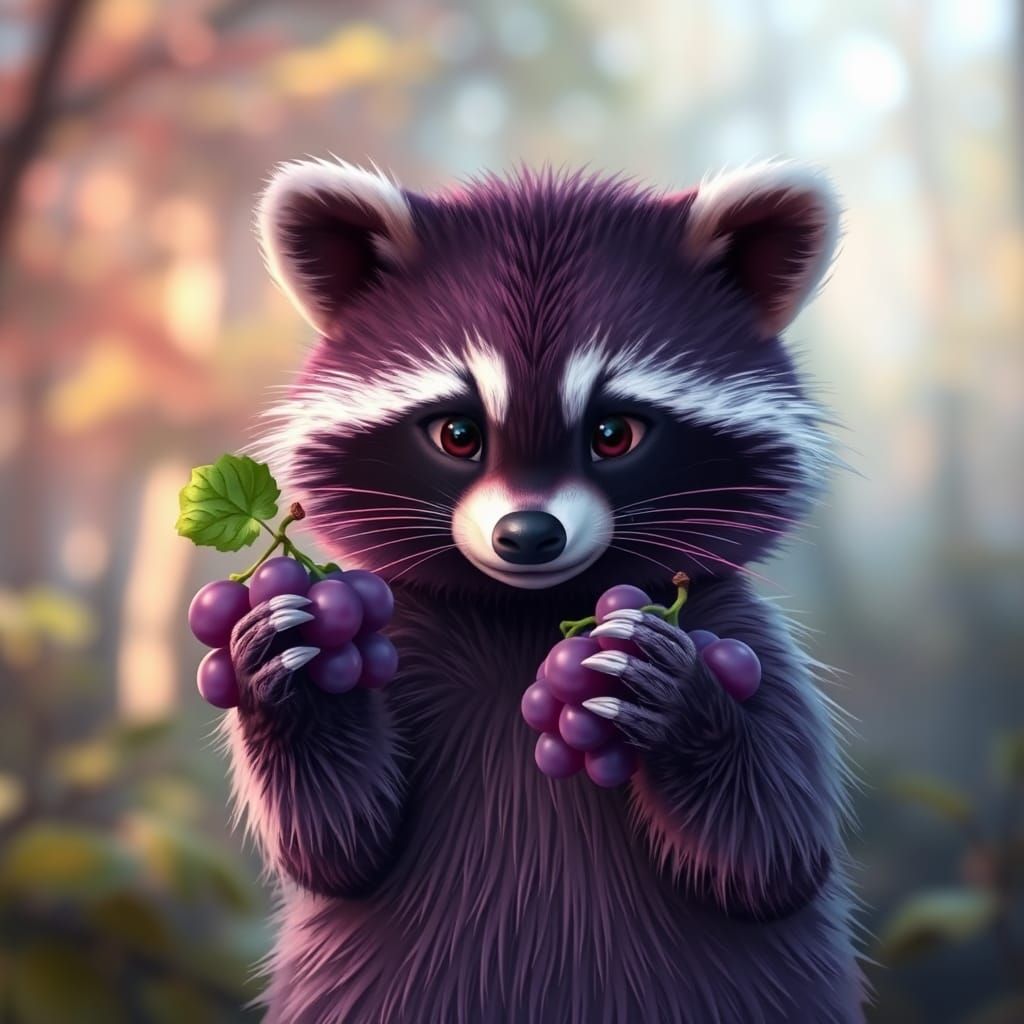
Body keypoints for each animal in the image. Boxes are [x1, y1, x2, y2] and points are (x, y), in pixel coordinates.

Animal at [222, 159, 866, 1023]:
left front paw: (678, 701)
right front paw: (295, 681)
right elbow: (340, 844)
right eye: (458, 433)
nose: (528, 535)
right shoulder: (410, 638)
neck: (529, 610)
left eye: (614, 433)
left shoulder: (742, 632)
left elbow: (773, 855)